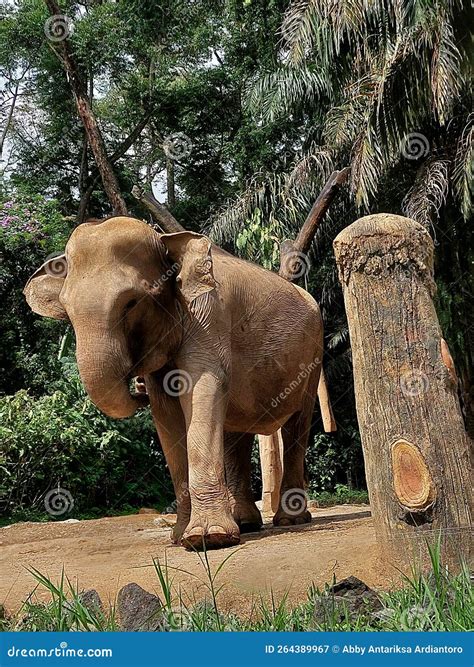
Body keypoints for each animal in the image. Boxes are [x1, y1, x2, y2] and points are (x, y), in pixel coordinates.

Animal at [25, 217, 330, 552]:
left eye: (131, 302)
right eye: (66, 310)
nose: (136, 386)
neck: (166, 240)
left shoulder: (208, 314)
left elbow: (202, 388)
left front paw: (209, 538)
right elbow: (165, 412)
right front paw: (182, 537)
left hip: (313, 352)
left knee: (297, 425)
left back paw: (289, 520)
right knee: (236, 432)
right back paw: (246, 523)